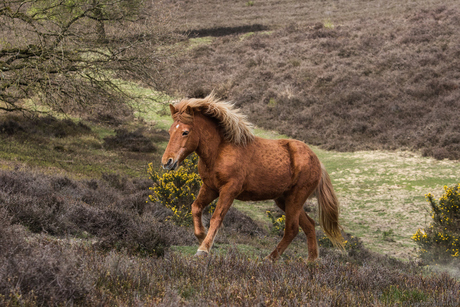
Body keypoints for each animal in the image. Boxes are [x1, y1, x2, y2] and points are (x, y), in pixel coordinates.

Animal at [160, 94, 344, 262]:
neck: (220, 150)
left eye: (185, 132)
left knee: (292, 229)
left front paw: (203, 249)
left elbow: (216, 218)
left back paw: (271, 258)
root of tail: (317, 161)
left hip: (295, 199)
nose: (167, 162)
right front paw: (201, 237)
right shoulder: (210, 187)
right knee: (309, 226)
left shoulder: (229, 190)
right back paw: (310, 262)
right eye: (170, 131)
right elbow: (196, 207)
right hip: (284, 200)